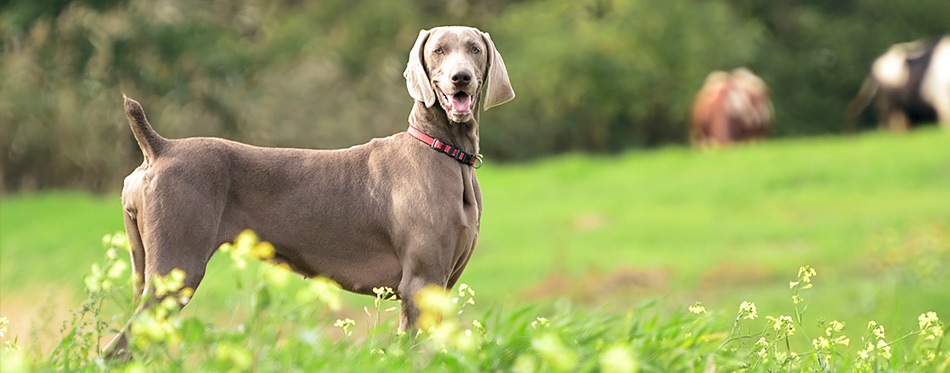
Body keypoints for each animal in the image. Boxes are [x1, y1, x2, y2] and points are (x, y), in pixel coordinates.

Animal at [106, 26, 512, 354]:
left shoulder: (441, 284)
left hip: (144, 268)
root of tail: (160, 147)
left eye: (475, 49)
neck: (444, 151)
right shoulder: (421, 283)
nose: (461, 78)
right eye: (439, 50)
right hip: (176, 270)